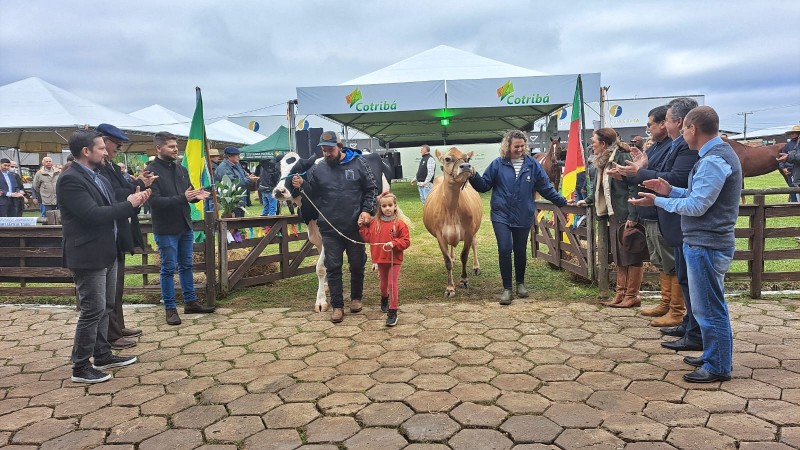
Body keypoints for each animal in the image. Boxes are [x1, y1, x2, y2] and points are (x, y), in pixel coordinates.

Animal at [422, 146, 484, 298]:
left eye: (468, 158)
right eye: (447, 159)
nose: (466, 166)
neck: (451, 209)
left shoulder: (469, 232)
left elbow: (464, 256)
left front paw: (463, 280)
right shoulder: (440, 235)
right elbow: (447, 261)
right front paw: (450, 288)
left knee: (474, 244)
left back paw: (476, 267)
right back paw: (453, 257)